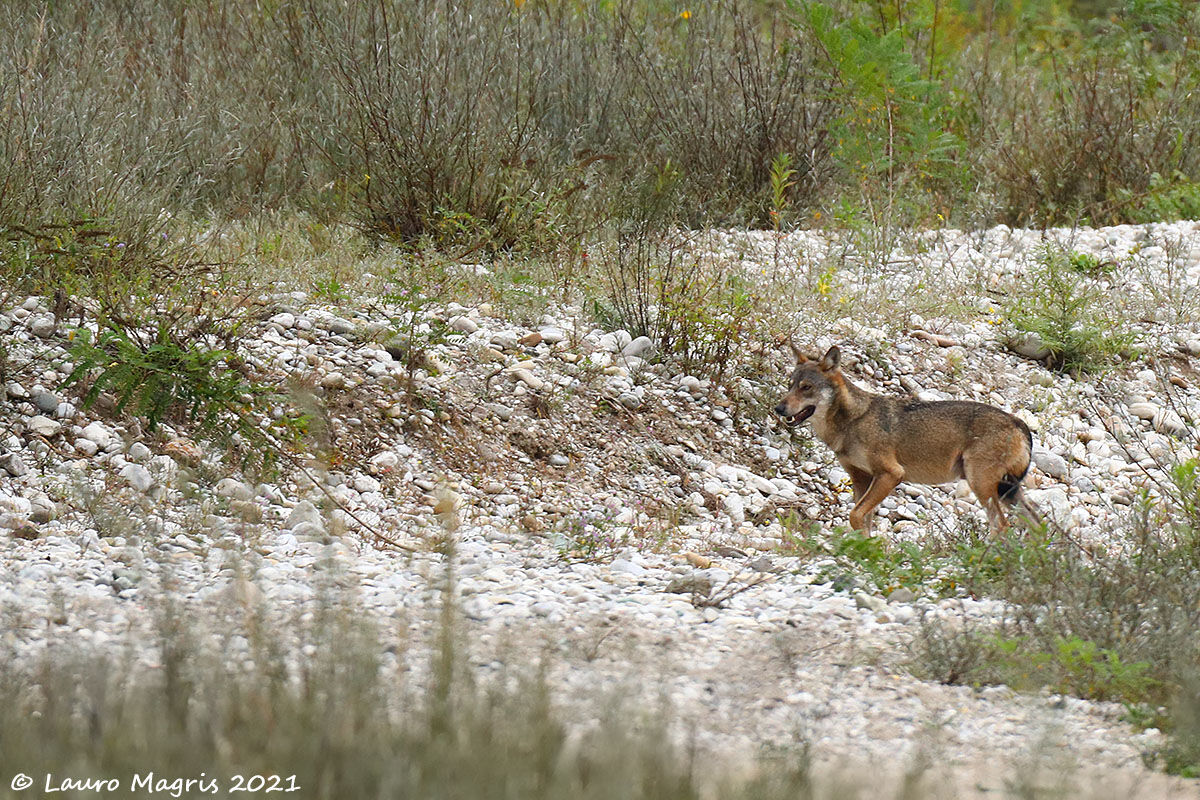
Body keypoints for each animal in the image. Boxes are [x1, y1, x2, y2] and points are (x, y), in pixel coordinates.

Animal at [777, 343, 1032, 534]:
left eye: (806, 387)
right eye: (789, 386)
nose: (779, 408)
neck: (852, 421)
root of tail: (1019, 423)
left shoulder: (891, 474)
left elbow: (855, 515)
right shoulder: (861, 480)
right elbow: (863, 521)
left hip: (982, 485)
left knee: (1002, 525)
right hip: (1006, 492)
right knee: (1034, 521)